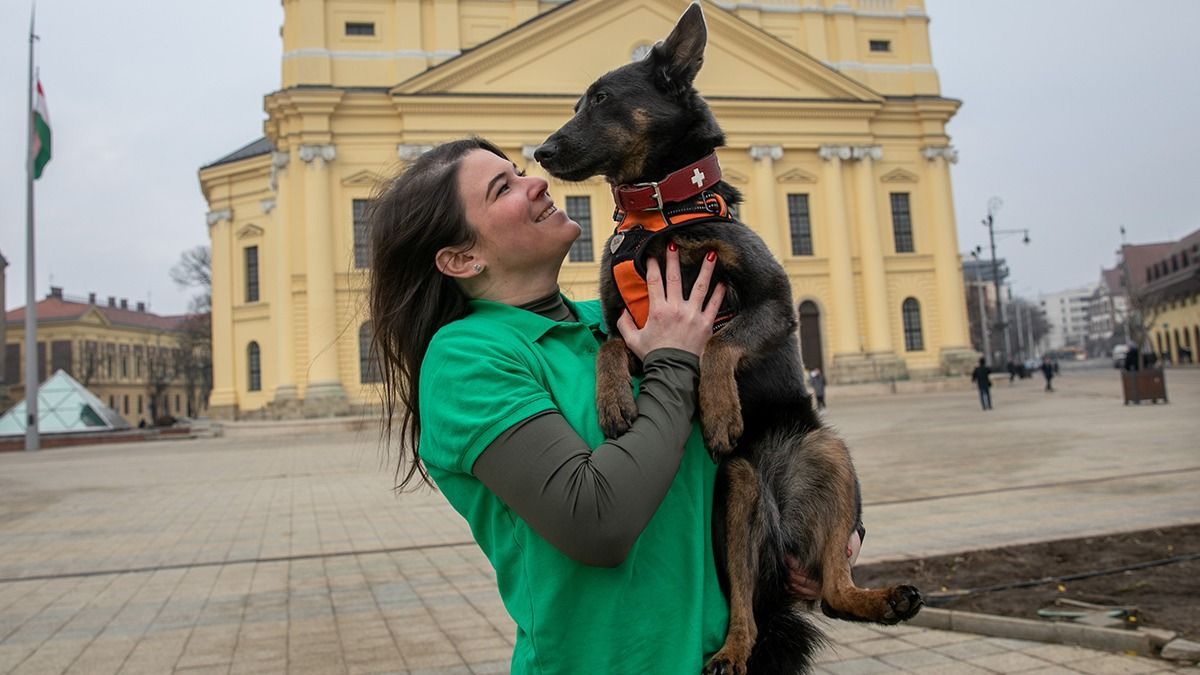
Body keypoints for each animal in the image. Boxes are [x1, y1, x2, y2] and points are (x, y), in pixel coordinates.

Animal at [540, 2, 921, 667]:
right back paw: (732, 652)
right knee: (760, 605)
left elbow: (720, 341)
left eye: (602, 98)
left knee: (836, 590)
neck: (659, 215)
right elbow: (608, 345)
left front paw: (718, 408)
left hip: (827, 455)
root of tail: (782, 521)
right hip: (735, 499)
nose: (538, 150)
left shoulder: (773, 301)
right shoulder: (629, 325)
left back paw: (886, 599)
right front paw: (613, 402)